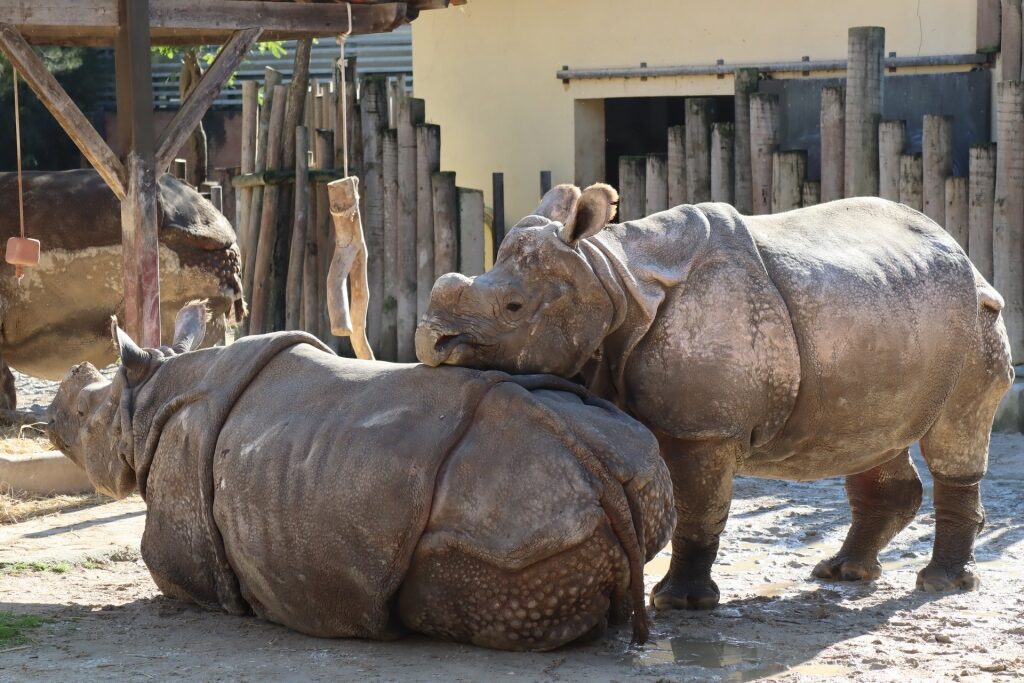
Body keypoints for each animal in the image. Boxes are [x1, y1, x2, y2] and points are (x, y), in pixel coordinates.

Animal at [48, 305, 675, 651]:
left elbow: (165, 567)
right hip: (630, 462)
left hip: (515, 508)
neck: (146, 399)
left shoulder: (181, 544)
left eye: (82, 413)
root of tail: (593, 465)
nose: (50, 416)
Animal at [417, 185, 1015, 610]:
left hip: (972, 318)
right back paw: (842, 574)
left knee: (953, 433)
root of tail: (963, 252)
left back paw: (939, 585)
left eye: (514, 308)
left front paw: (679, 604)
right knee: (871, 434)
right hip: (886, 309)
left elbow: (699, 507)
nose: (430, 342)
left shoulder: (703, 428)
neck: (609, 277)